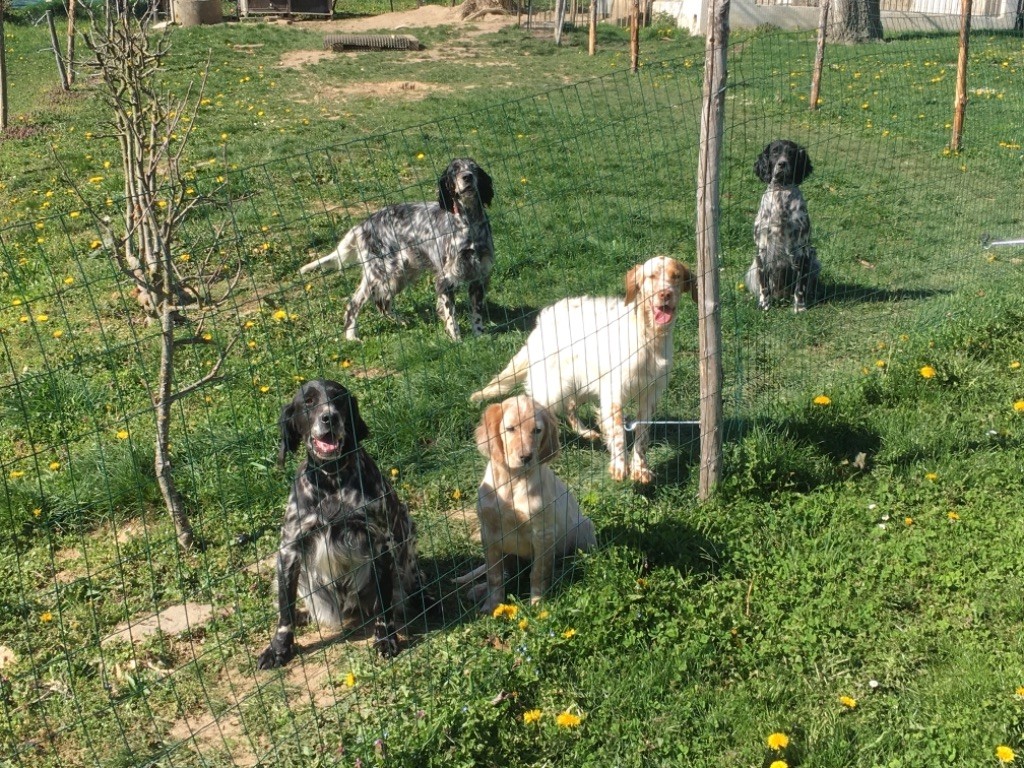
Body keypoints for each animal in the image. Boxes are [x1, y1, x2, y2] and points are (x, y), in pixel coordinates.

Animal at [260, 382, 432, 671]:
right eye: (308, 401)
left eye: (339, 399)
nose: (329, 417)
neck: (331, 481)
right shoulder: (289, 549)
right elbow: (284, 612)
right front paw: (280, 649)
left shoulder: (381, 543)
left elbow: (384, 605)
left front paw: (386, 639)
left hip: (406, 526)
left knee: (411, 577)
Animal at [299, 157, 493, 342]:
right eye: (455, 170)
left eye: (474, 168)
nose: (467, 177)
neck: (469, 223)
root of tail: (362, 225)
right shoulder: (445, 279)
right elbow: (451, 316)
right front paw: (457, 340)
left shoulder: (479, 276)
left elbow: (476, 315)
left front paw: (480, 336)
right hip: (381, 272)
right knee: (355, 302)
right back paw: (351, 336)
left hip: (401, 272)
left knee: (382, 302)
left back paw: (399, 321)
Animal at [458, 397, 598, 614]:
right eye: (510, 429)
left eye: (537, 430)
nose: (526, 457)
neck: (513, 480)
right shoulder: (488, 533)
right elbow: (494, 575)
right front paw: (492, 605)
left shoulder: (542, 534)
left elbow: (538, 573)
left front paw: (538, 604)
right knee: (506, 572)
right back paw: (479, 590)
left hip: (585, 527)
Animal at [468, 259, 696, 487]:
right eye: (651, 276)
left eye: (676, 276)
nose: (665, 294)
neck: (648, 335)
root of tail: (543, 321)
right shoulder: (613, 392)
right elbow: (618, 432)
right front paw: (619, 466)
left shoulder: (650, 394)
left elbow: (642, 435)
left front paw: (640, 468)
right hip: (554, 386)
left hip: (585, 383)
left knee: (570, 406)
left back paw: (585, 432)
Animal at [745, 140, 823, 311]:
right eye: (775, 152)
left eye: (791, 153)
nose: (782, 163)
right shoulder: (762, 249)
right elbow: (764, 284)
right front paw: (764, 305)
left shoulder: (802, 250)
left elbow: (800, 286)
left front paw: (800, 307)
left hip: (814, 261)